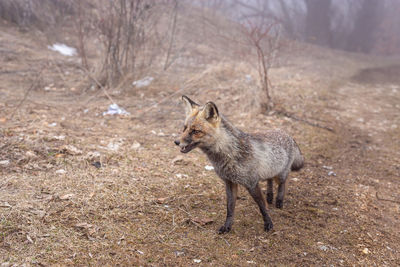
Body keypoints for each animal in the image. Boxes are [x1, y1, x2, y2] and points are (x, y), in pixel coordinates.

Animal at [173, 96, 304, 234]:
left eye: (195, 131)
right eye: (184, 128)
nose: (176, 142)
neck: (229, 153)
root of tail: (286, 133)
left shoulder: (251, 183)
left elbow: (262, 206)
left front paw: (268, 223)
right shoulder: (229, 183)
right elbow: (230, 208)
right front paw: (227, 227)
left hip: (281, 174)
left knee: (282, 184)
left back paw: (279, 200)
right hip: (270, 169)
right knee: (269, 181)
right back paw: (270, 196)